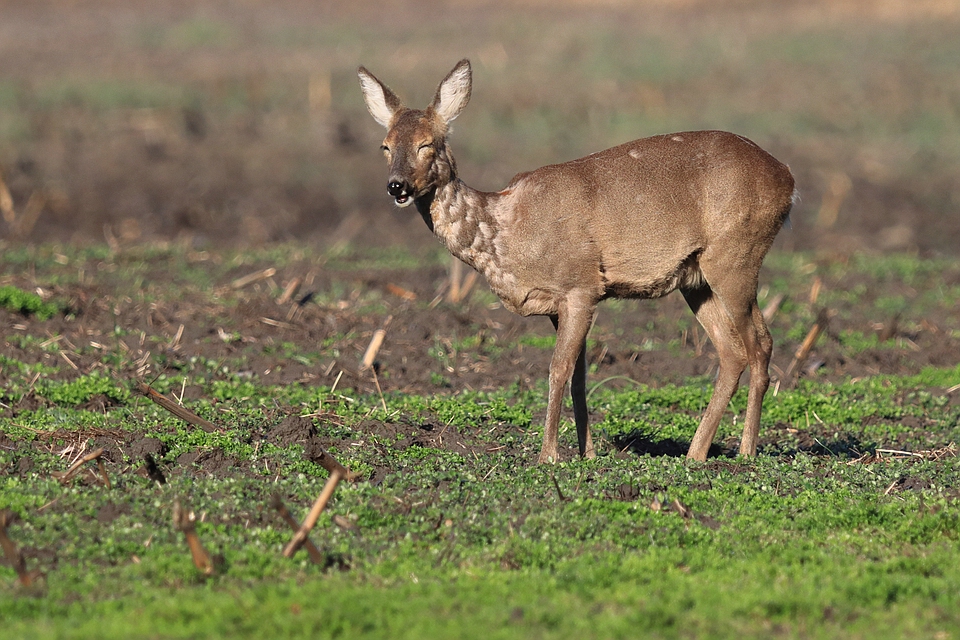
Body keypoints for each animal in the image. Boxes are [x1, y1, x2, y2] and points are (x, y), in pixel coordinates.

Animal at [358, 60, 796, 462]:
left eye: (427, 143)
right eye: (385, 145)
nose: (396, 186)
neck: (503, 233)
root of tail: (789, 181)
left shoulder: (580, 285)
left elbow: (558, 369)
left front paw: (548, 455)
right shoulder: (559, 303)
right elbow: (579, 376)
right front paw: (586, 453)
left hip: (736, 255)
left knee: (761, 343)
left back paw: (745, 451)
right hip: (696, 278)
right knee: (732, 350)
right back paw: (696, 452)